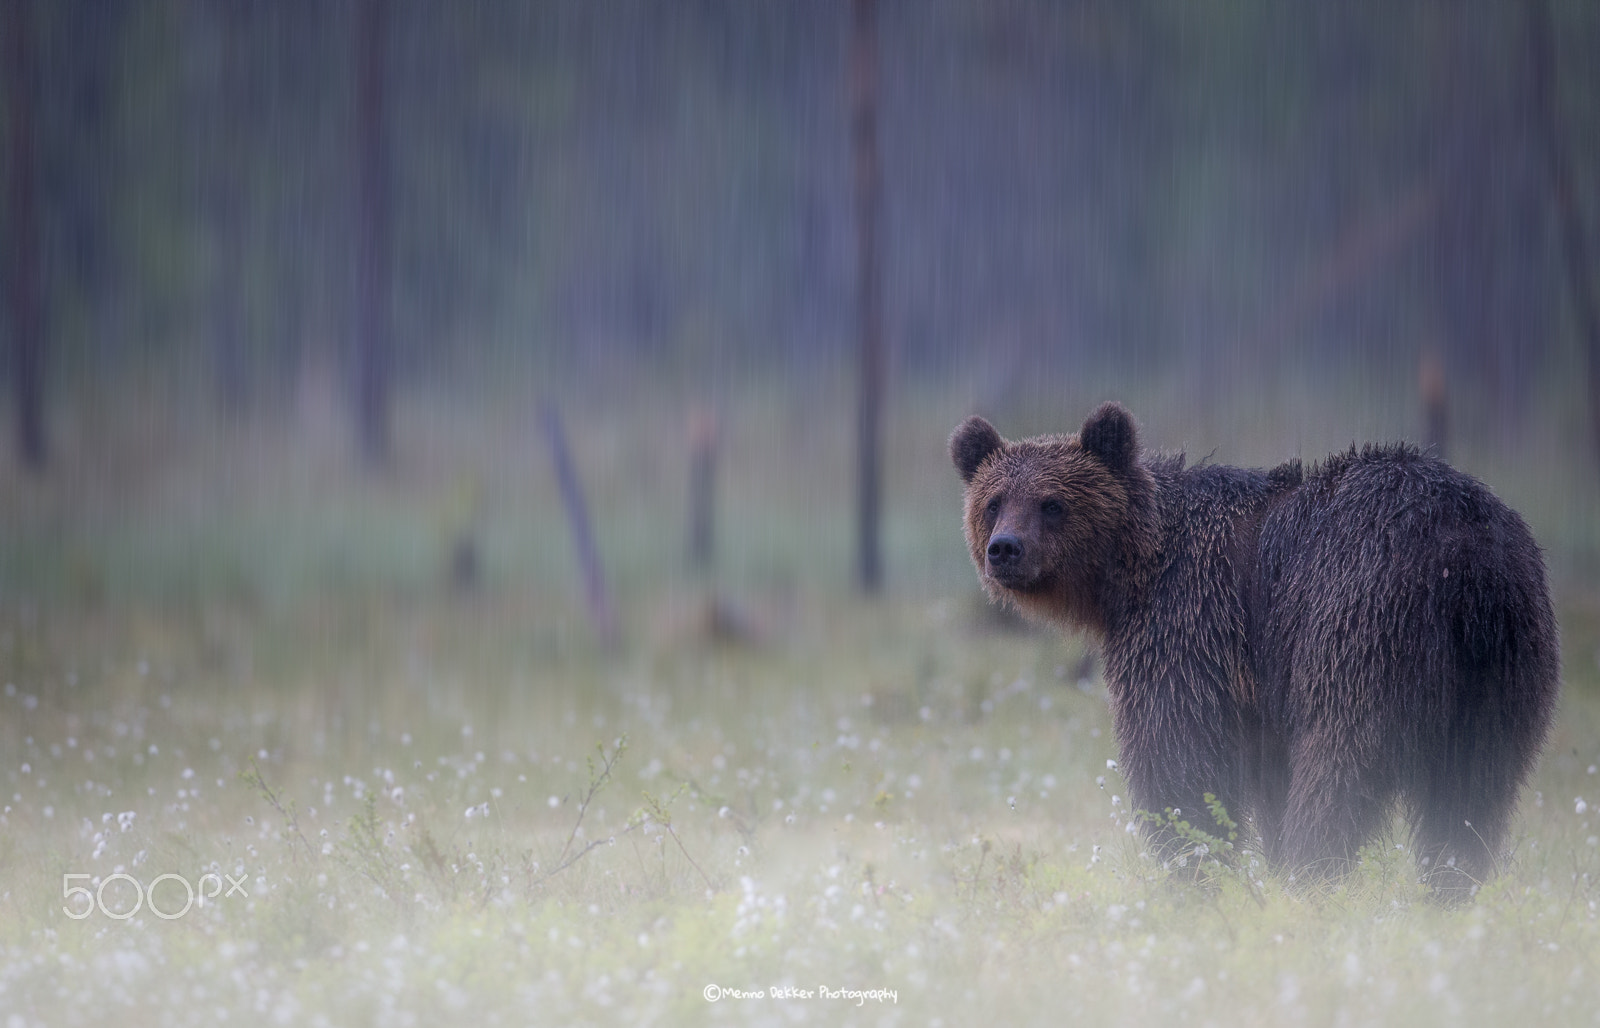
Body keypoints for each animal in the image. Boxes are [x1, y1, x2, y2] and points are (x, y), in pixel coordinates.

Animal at [947, 400, 1561, 896]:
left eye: (1051, 502)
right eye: (994, 501)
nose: (1005, 549)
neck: (1132, 570)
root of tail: (1466, 555)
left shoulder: (1189, 620)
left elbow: (1179, 756)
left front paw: (1193, 867)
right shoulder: (1256, 685)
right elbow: (1265, 775)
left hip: (1359, 625)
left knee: (1341, 763)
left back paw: (1314, 873)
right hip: (1504, 661)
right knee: (1475, 787)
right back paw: (1450, 884)